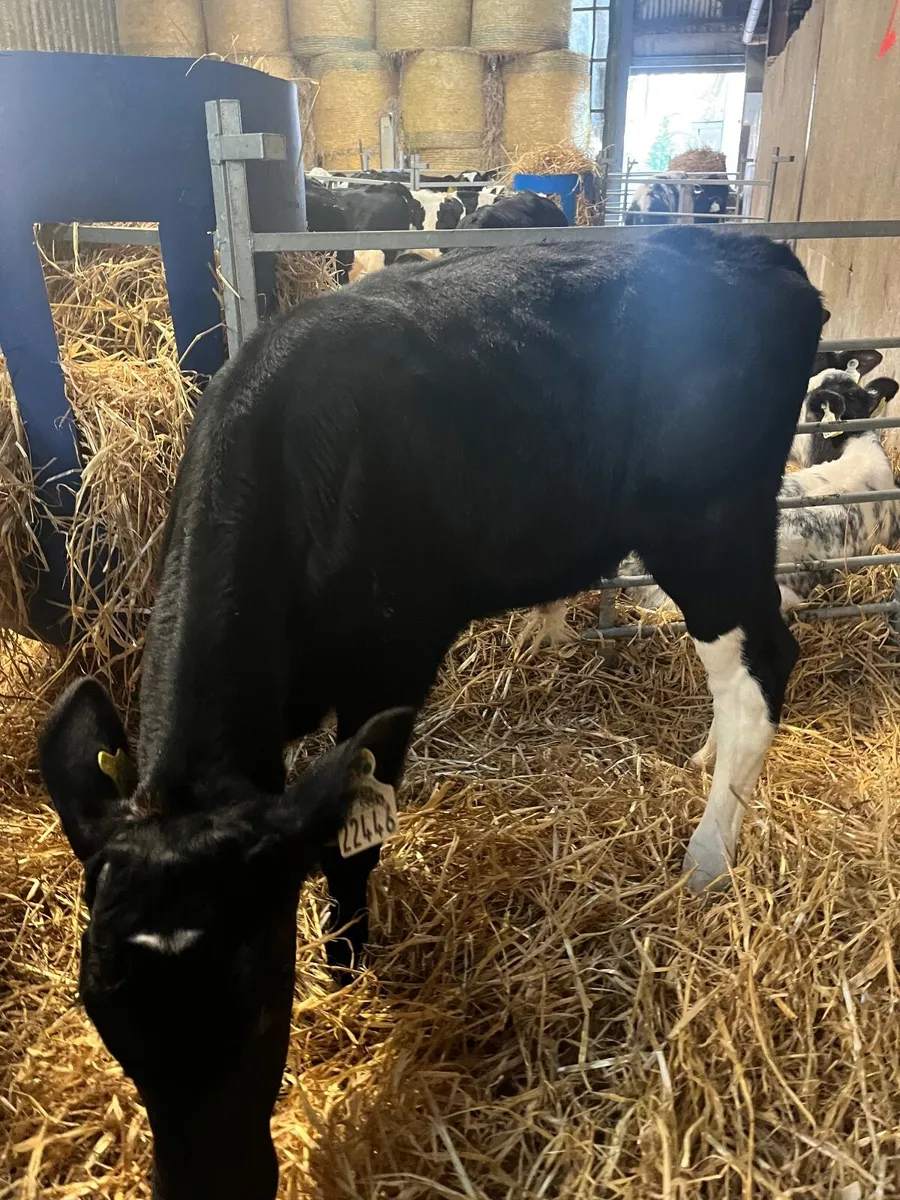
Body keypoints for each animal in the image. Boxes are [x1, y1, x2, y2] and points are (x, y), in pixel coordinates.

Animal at [39, 226, 824, 1200]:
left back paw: (707, 861)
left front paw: (347, 972)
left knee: (763, 666)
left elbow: (353, 841)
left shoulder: (395, 660)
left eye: (263, 999)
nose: (210, 1187)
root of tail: (757, 248)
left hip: (708, 521)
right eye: (102, 1011)